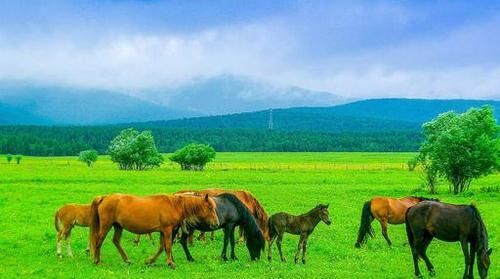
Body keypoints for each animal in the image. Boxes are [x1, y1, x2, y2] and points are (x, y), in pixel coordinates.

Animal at [89, 194, 218, 270]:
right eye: (210, 208)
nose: (216, 223)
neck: (174, 205)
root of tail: (104, 197)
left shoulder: (163, 231)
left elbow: (161, 247)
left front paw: (150, 261)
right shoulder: (167, 229)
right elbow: (168, 246)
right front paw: (171, 263)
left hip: (118, 226)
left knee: (116, 241)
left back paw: (127, 260)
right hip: (106, 225)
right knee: (99, 241)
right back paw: (97, 261)